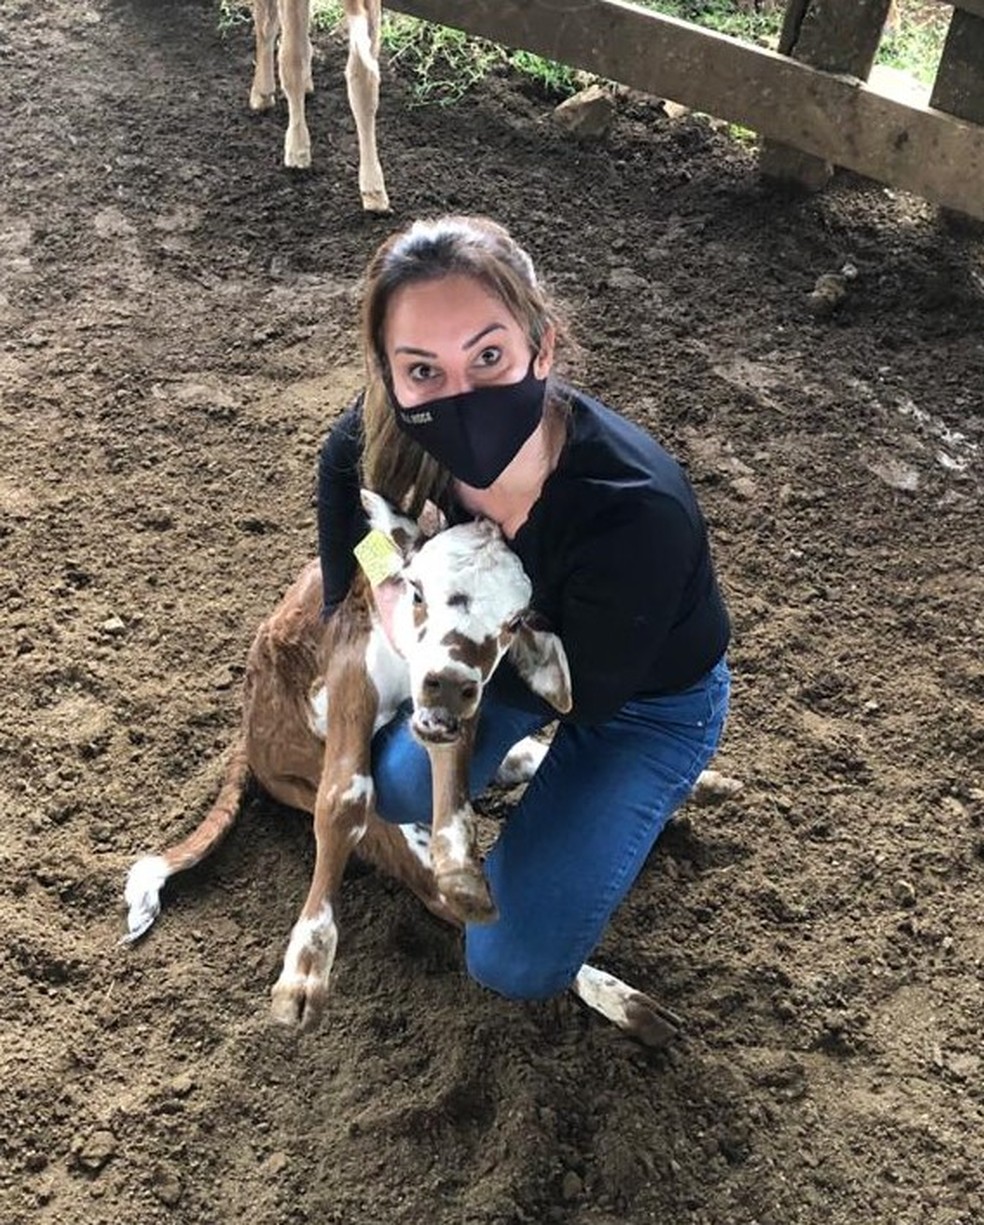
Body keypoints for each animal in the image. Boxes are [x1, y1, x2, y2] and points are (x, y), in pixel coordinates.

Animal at [121, 492, 691, 1048]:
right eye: (417, 592)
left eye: (514, 621)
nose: (449, 684)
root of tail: (248, 726)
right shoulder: (353, 669)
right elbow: (344, 800)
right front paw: (304, 974)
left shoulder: (459, 710)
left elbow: (454, 795)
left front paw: (463, 867)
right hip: (340, 798)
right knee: (440, 897)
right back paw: (630, 1004)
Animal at [248, 0, 389, 210]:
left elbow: (267, 25)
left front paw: (261, 94)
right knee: (364, 76)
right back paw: (374, 192)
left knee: (290, 60)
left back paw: (297, 150)